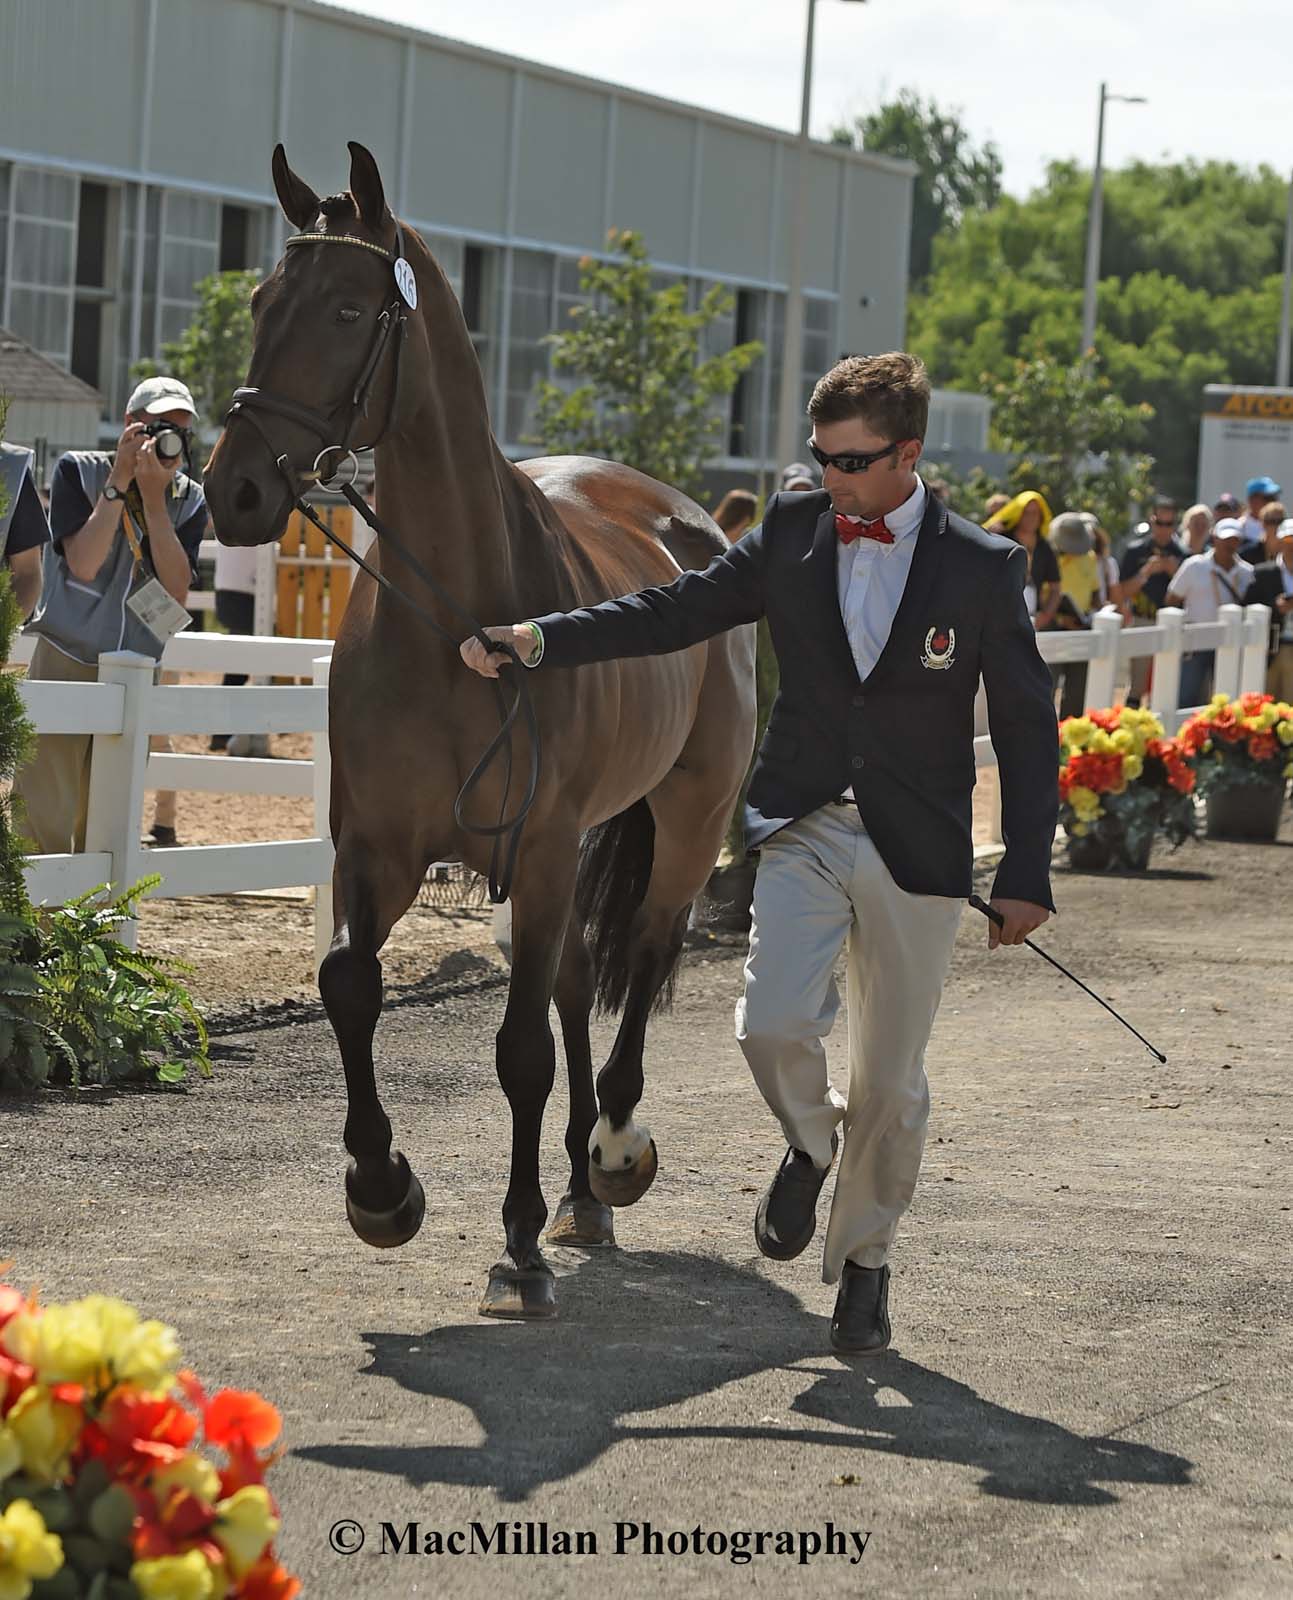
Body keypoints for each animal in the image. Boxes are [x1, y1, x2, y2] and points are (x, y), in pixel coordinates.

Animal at [203, 144, 758, 1318]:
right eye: (265, 299)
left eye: (349, 308)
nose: (234, 487)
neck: (454, 619)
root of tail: (692, 521)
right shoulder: (376, 846)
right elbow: (348, 984)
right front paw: (381, 1188)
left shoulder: (539, 848)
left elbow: (517, 1052)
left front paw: (517, 1246)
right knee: (578, 979)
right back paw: (580, 1193)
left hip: (687, 815)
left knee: (647, 946)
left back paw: (611, 1151)